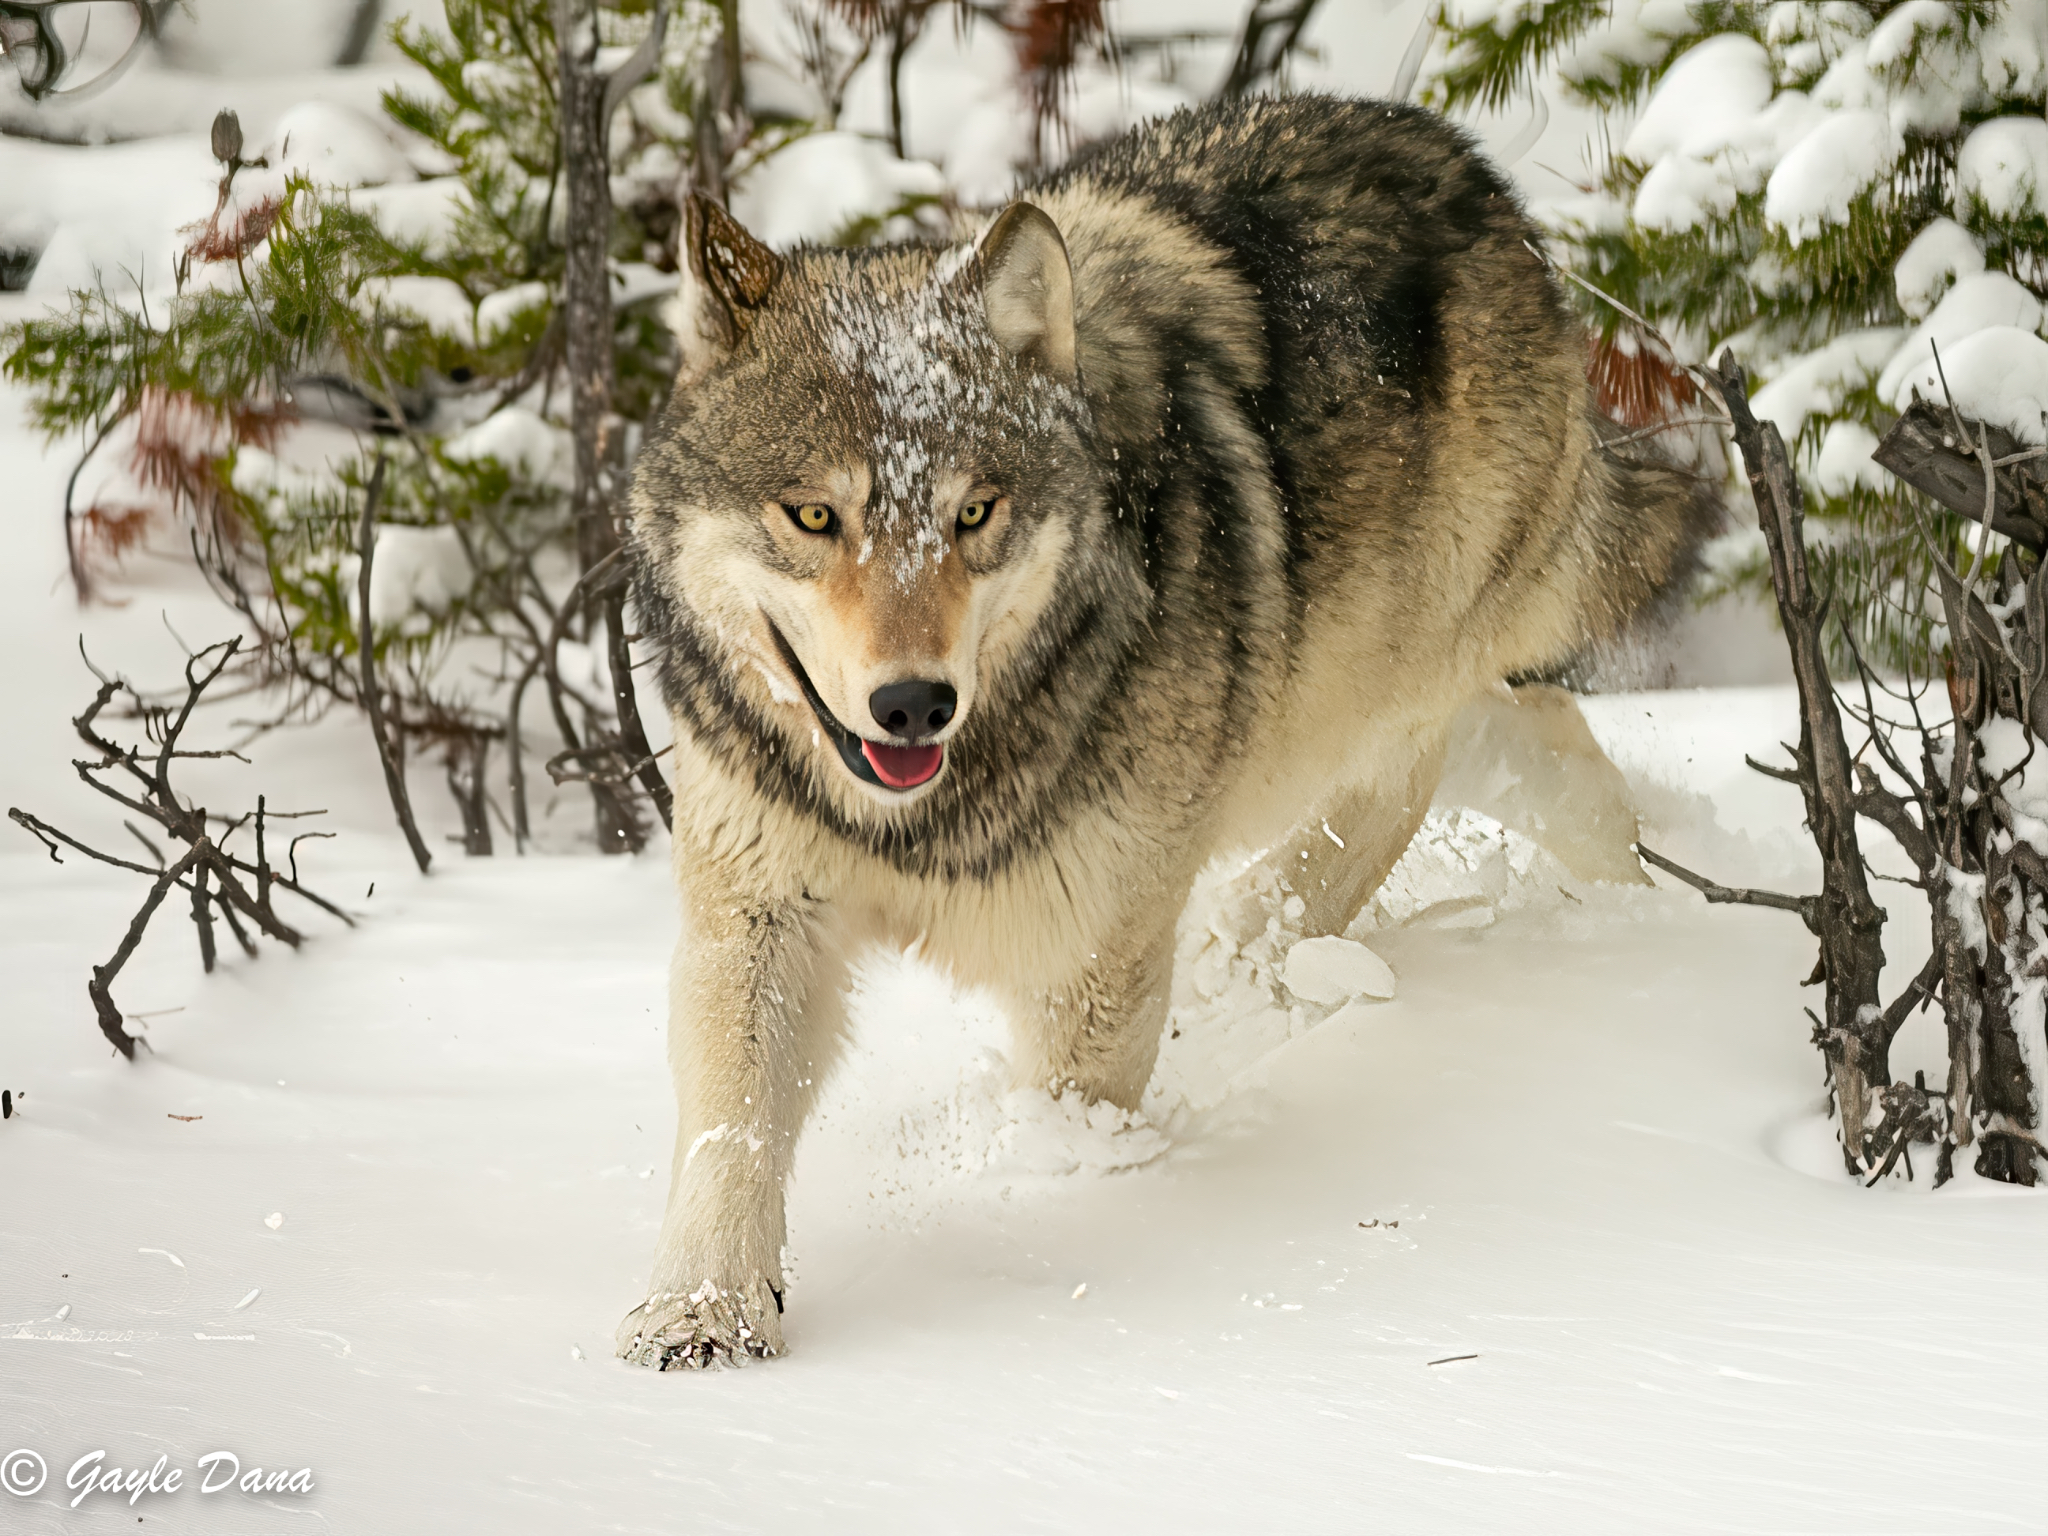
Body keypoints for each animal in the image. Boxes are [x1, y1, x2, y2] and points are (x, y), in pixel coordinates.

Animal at [617, 95, 1716, 1367]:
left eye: (973, 514)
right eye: (812, 516)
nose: (912, 703)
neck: (932, 810)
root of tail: (1458, 160)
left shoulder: (1089, 966)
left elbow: (1060, 1110)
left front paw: (1037, 1193)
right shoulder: (756, 914)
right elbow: (730, 1129)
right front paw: (700, 1313)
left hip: (1364, 671)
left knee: (1408, 770)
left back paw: (1279, 939)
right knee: (1506, 739)